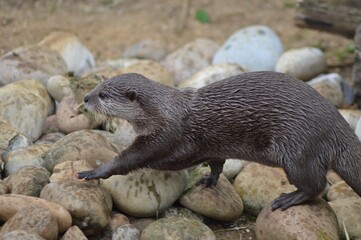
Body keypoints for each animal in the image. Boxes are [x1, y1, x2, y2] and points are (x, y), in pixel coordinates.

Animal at [76, 71, 360, 210]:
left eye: (103, 95)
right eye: (98, 86)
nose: (86, 98)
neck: (163, 111)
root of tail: (336, 123)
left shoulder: (165, 135)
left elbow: (131, 158)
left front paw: (95, 171)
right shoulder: (211, 146)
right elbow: (216, 162)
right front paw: (208, 180)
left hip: (299, 150)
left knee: (316, 185)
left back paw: (288, 199)